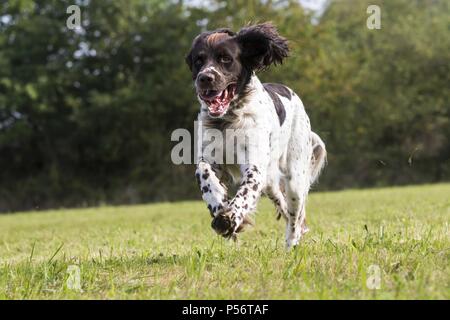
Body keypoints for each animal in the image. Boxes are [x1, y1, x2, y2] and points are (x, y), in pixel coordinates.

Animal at [186, 22, 326, 249]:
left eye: (225, 59)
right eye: (198, 60)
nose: (205, 78)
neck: (228, 118)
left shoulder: (254, 166)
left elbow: (245, 194)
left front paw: (229, 219)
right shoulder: (211, 158)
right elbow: (204, 174)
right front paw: (219, 206)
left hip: (294, 178)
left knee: (295, 215)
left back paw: (291, 244)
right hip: (270, 183)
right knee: (284, 205)